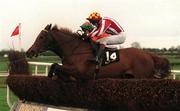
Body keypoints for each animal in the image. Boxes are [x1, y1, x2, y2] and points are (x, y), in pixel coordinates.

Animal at [26, 24, 169, 80]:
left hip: (142, 77)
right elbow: (55, 67)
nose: (29, 52)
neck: (74, 50)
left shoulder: (80, 72)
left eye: (41, 37)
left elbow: (55, 66)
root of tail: (149, 55)